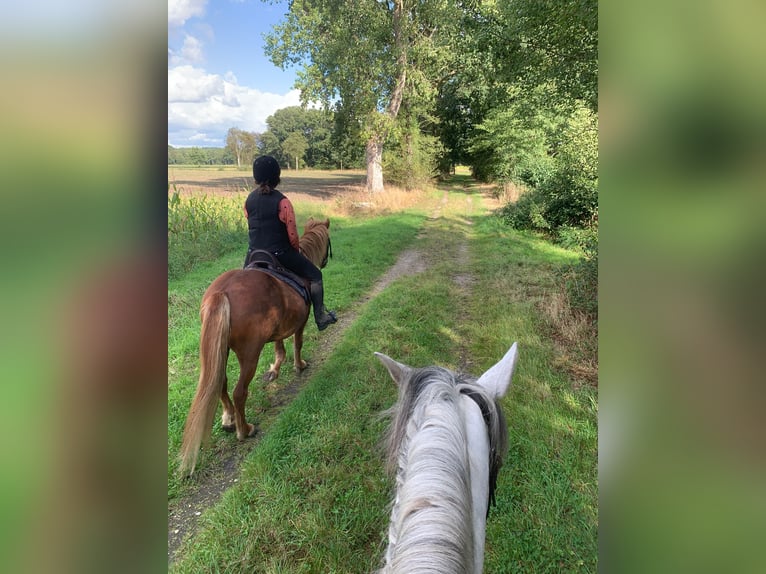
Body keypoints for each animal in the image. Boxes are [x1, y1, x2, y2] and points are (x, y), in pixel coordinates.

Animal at [177, 217, 333, 476]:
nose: (324, 261)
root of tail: (221, 293)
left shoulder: (280, 327)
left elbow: (280, 347)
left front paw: (275, 370)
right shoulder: (300, 322)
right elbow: (297, 343)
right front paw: (299, 366)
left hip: (219, 352)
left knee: (220, 382)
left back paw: (229, 420)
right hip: (249, 354)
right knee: (239, 391)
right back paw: (245, 429)